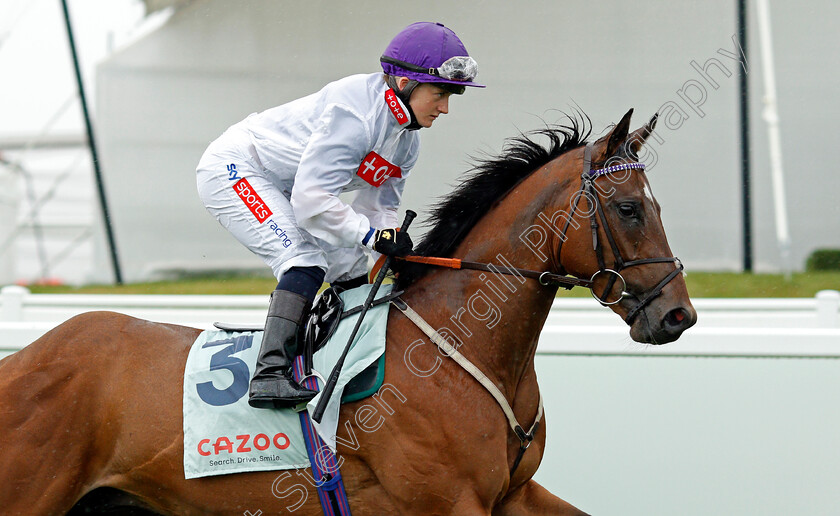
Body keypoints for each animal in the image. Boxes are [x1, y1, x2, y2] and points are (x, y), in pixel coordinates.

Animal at [0, 108, 696, 512]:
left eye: (658, 206)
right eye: (629, 208)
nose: (678, 316)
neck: (465, 348)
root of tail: (24, 358)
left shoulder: (514, 494)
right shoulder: (450, 501)